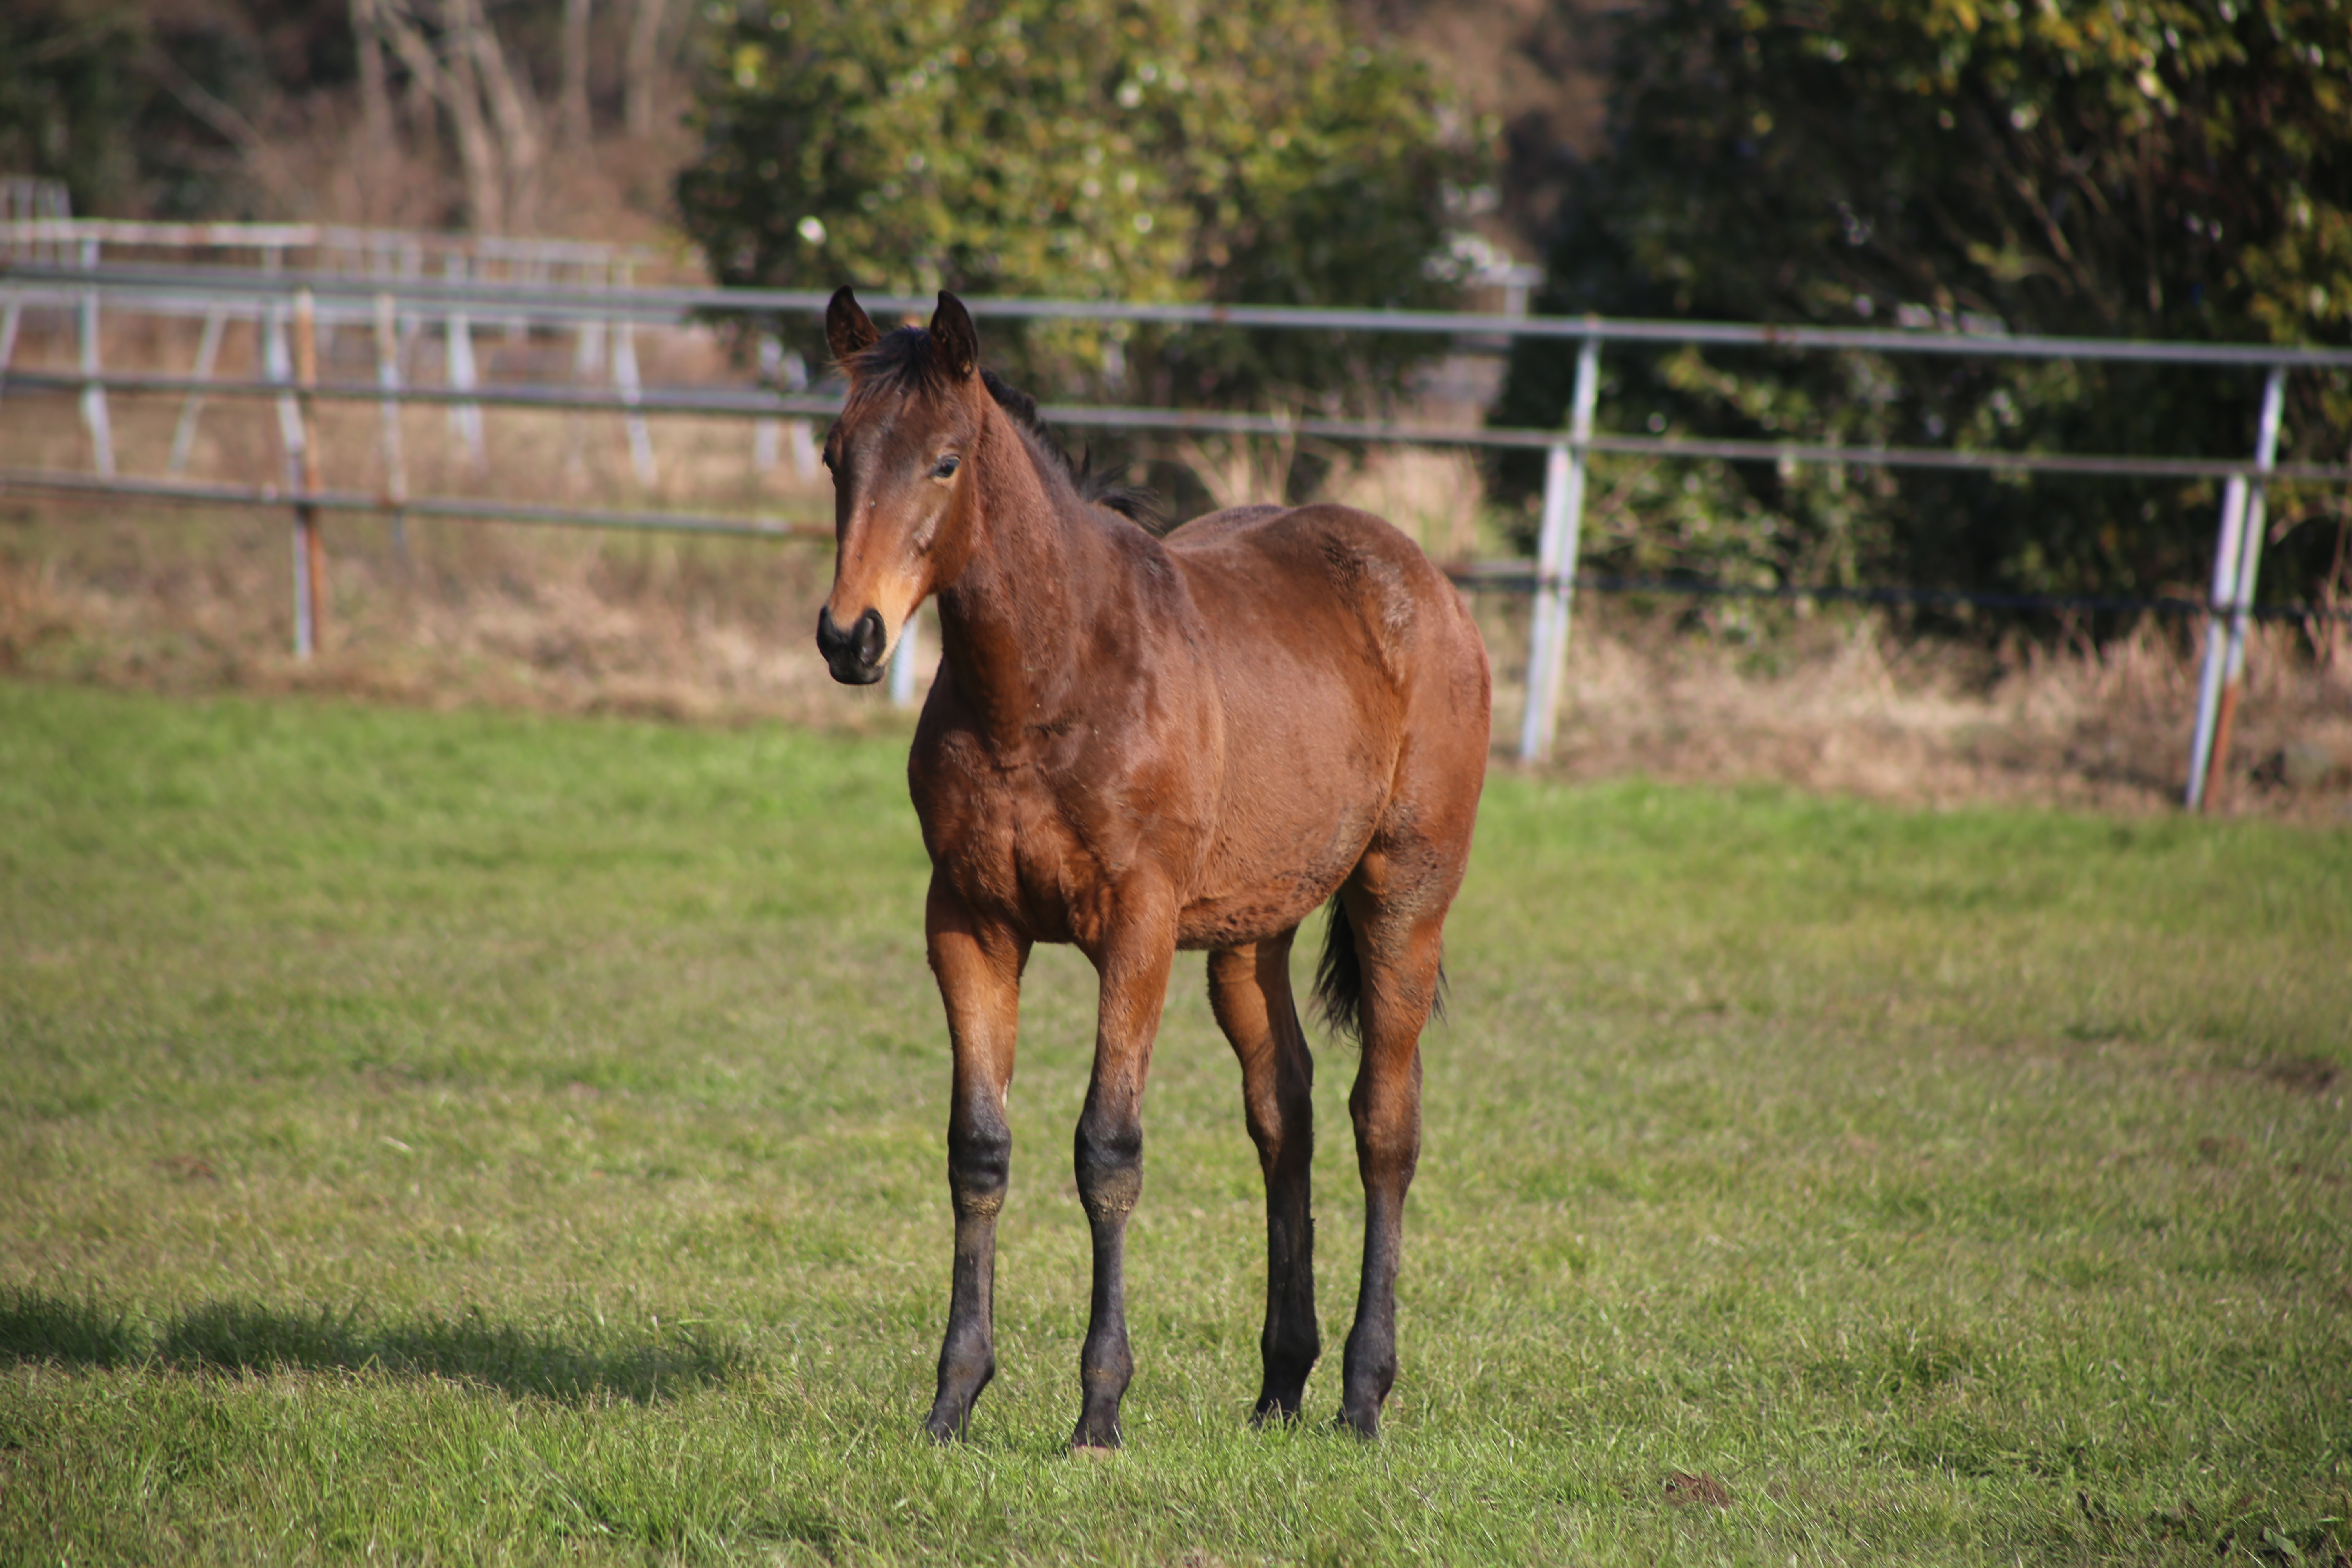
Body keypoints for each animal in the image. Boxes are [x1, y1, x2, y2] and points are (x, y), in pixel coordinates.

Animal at [813, 285, 1486, 1448]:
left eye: (945, 461)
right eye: (832, 454)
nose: (850, 636)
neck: (1046, 683)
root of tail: (1428, 587)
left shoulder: (1136, 926)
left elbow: (1107, 1150)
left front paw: (1098, 1408)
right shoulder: (968, 924)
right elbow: (977, 1147)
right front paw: (952, 1398)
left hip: (1403, 896)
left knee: (1383, 1125)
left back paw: (1362, 1393)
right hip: (1249, 936)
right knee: (1285, 1115)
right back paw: (1280, 1384)